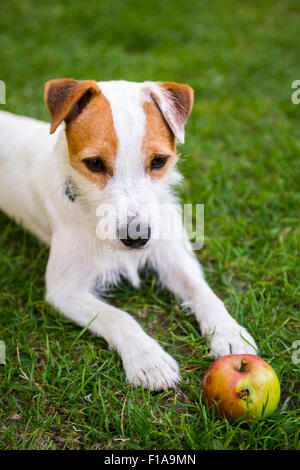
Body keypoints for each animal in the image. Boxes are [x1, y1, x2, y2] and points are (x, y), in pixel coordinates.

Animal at [0, 80, 258, 390]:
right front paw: (148, 359)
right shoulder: (65, 290)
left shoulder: (172, 259)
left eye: (159, 161)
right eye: (94, 163)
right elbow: (118, 317)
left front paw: (229, 331)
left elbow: (204, 292)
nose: (136, 237)